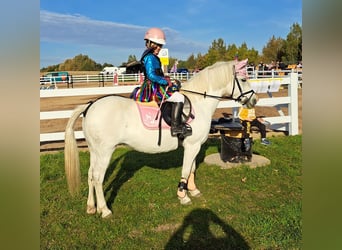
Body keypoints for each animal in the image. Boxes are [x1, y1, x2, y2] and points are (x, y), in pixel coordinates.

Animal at [64, 59, 256, 218]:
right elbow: (186, 170)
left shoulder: (194, 146)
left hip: (95, 151)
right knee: (97, 178)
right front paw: (183, 196)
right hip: (104, 152)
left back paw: (91, 207)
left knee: (90, 175)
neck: (198, 103)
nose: (254, 100)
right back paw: (104, 210)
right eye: (243, 79)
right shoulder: (192, 146)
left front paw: (193, 190)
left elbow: (192, 169)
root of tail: (90, 106)